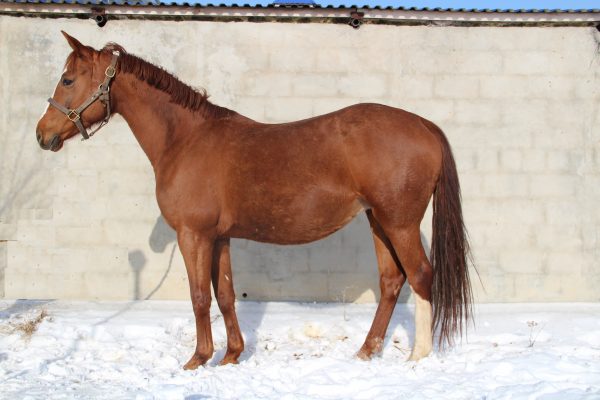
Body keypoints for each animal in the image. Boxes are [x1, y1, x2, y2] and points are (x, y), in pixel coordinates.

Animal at [36, 32, 474, 370]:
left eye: (68, 79)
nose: (43, 135)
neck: (185, 139)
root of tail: (424, 125)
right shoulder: (220, 237)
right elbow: (226, 295)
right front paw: (231, 356)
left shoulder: (193, 235)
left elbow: (199, 297)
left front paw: (197, 360)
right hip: (378, 221)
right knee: (391, 281)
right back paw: (366, 352)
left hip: (399, 222)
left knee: (420, 275)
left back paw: (417, 357)